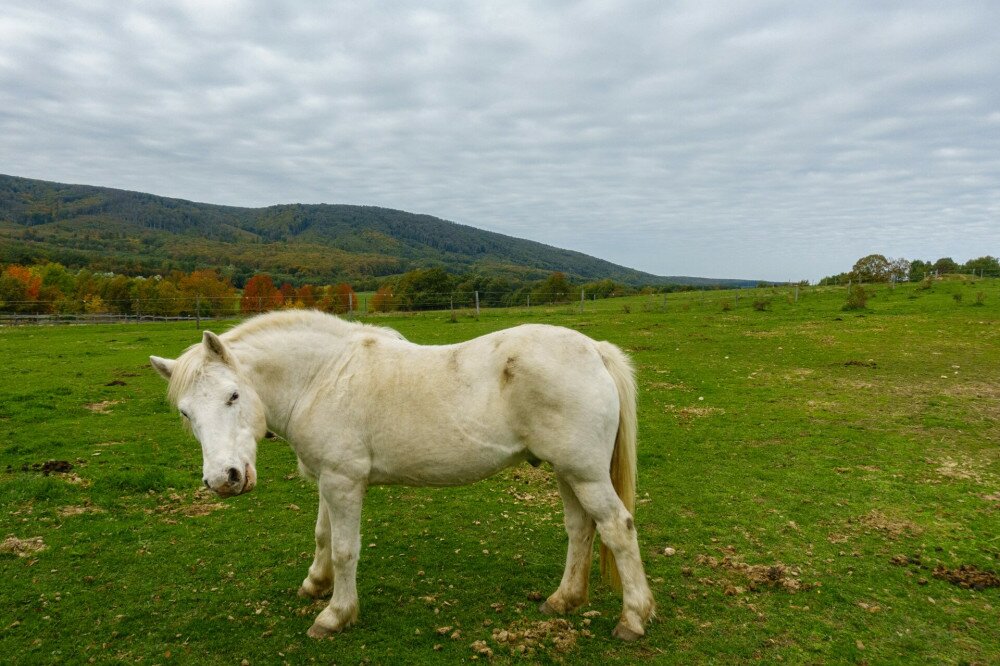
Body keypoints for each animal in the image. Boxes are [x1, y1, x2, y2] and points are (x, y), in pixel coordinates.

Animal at [145, 312, 652, 640]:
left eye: (233, 395)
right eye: (186, 413)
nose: (224, 479)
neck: (322, 377)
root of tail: (595, 351)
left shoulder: (344, 482)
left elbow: (345, 550)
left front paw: (335, 615)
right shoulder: (329, 480)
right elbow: (323, 537)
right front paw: (315, 585)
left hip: (584, 474)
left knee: (618, 528)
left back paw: (632, 619)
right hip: (568, 472)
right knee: (580, 529)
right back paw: (563, 600)